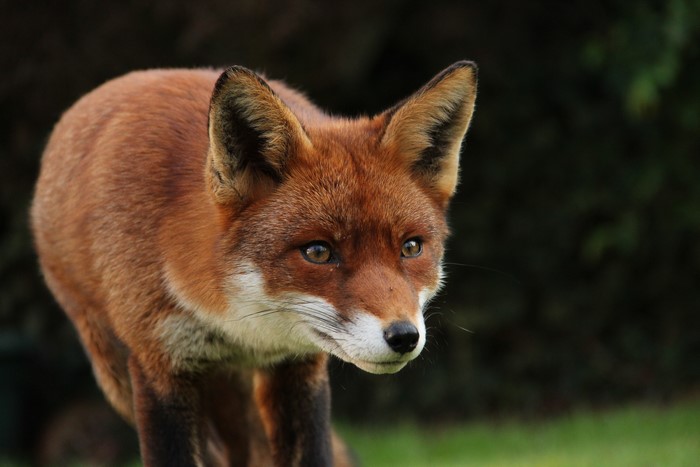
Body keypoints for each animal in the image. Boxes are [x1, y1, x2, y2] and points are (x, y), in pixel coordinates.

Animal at [30, 61, 477, 466]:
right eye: (318, 252)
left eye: (411, 248)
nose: (403, 336)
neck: (240, 330)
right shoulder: (161, 369)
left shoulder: (298, 366)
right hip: (117, 375)